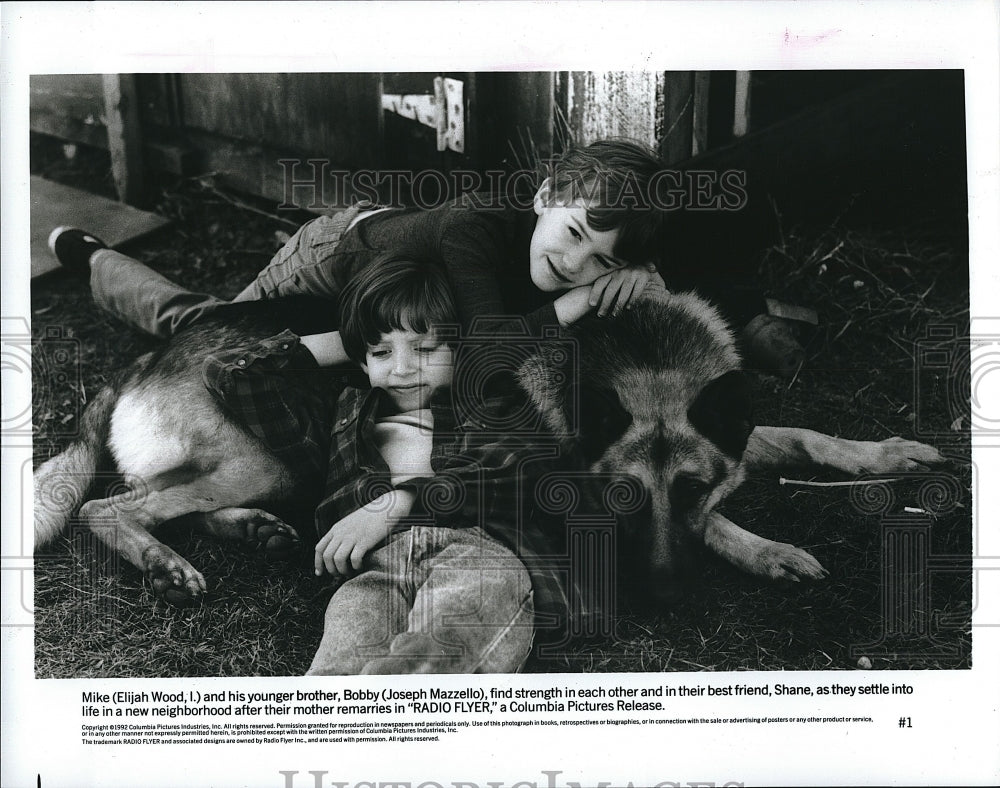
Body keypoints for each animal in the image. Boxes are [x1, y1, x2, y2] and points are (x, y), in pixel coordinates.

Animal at [33, 292, 944, 608]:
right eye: (621, 500)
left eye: (687, 487)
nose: (661, 592)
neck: (635, 353)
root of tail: (141, 359)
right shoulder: (555, 484)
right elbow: (724, 525)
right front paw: (767, 549)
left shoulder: (733, 433)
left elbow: (799, 438)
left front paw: (885, 453)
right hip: (255, 458)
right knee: (107, 507)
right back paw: (163, 561)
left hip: (265, 468)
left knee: (182, 505)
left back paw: (250, 532)